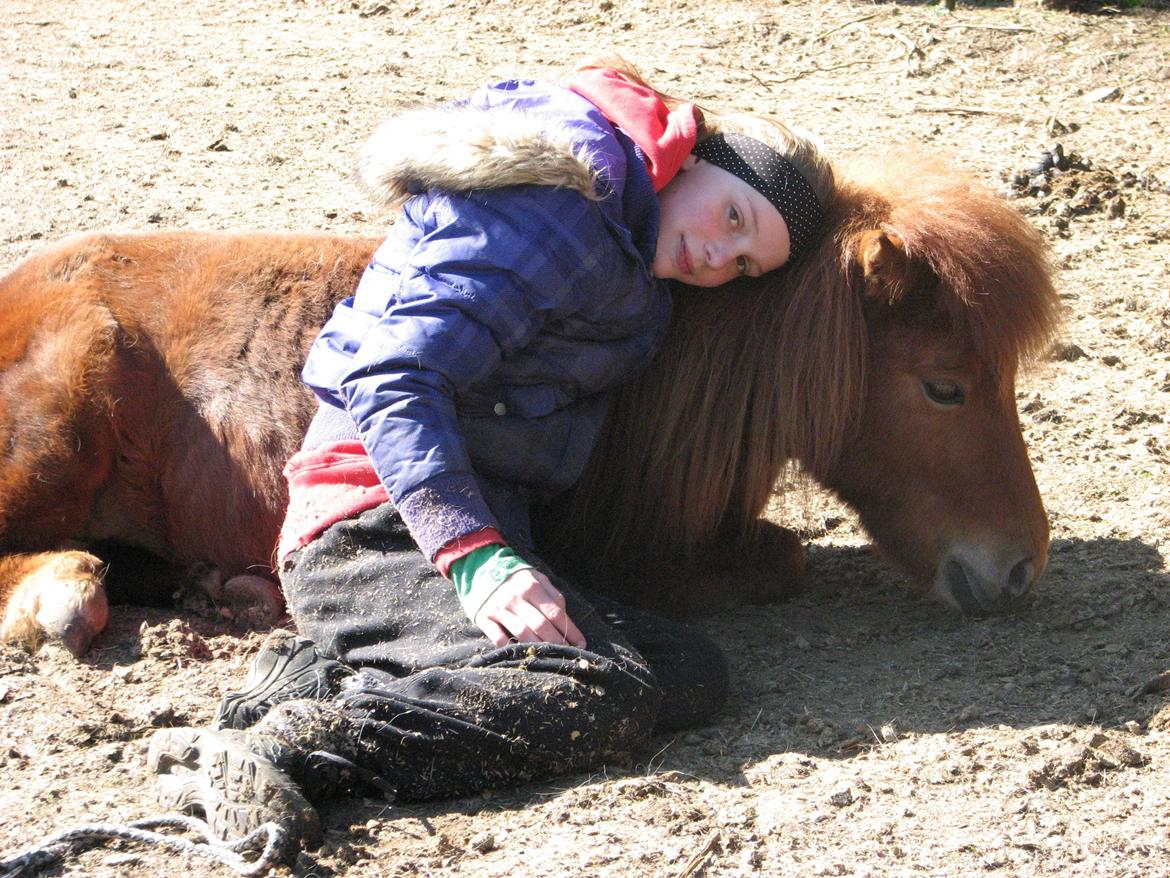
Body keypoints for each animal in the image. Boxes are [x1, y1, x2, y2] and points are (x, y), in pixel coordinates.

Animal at [0, 156, 1062, 660]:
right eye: (943, 385)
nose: (1019, 570)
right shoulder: (607, 550)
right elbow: (779, 561)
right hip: (58, 428)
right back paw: (60, 595)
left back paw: (219, 588)